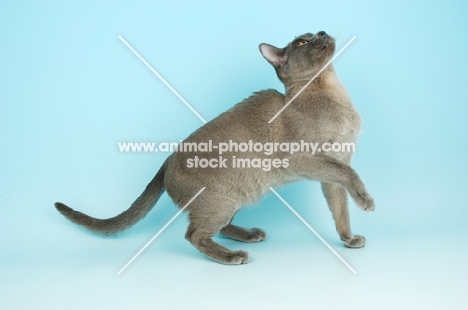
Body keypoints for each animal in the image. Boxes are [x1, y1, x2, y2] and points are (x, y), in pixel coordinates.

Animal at [55, 30, 376, 264]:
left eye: (314, 34)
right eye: (302, 42)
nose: (321, 32)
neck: (333, 93)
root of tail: (166, 160)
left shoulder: (333, 169)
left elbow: (341, 211)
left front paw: (349, 240)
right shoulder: (311, 160)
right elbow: (352, 176)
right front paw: (367, 202)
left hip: (237, 194)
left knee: (215, 229)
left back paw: (250, 235)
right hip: (222, 200)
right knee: (194, 235)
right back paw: (233, 257)